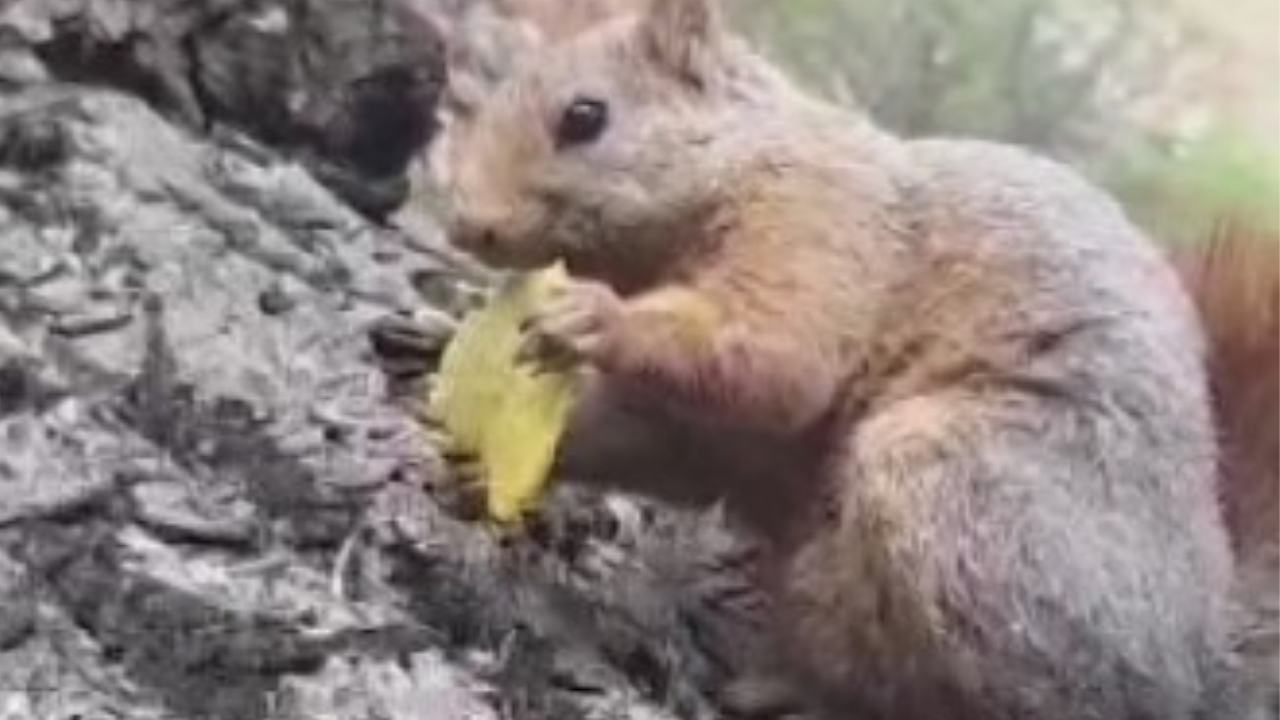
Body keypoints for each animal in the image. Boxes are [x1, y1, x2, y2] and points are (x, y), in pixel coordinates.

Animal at [432, 0, 1280, 712]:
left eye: (585, 117)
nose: (467, 225)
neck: (745, 158)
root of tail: (1196, 661)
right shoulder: (699, 429)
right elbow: (649, 436)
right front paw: (468, 448)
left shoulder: (819, 227)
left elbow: (777, 356)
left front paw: (595, 319)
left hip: (963, 498)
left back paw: (795, 691)